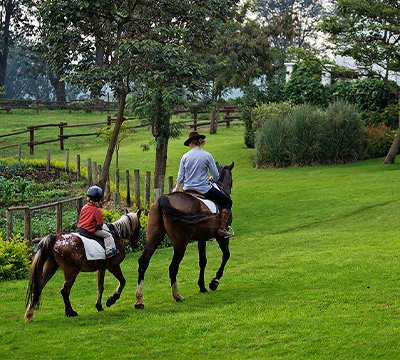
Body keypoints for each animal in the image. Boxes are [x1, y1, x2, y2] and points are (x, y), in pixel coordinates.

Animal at [134, 162, 234, 308]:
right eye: (231, 180)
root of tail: (163, 199)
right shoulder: (221, 236)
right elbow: (226, 255)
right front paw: (214, 282)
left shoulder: (202, 238)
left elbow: (202, 261)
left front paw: (202, 286)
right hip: (180, 244)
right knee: (173, 267)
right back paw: (177, 295)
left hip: (153, 239)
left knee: (143, 262)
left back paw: (139, 299)